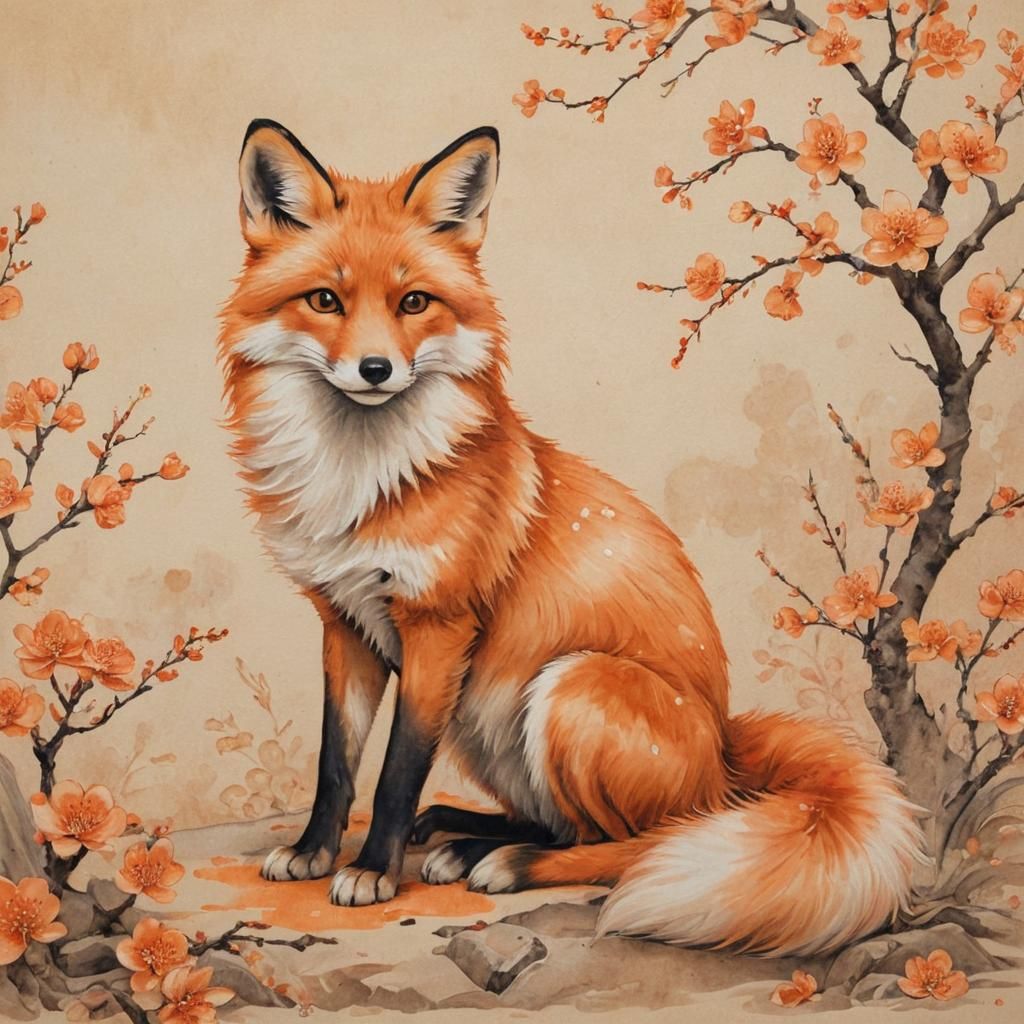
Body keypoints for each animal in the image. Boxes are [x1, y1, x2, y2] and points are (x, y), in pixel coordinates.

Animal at [217, 119, 923, 956]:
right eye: (325, 300)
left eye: (414, 301)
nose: (376, 368)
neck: (365, 485)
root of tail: (724, 752)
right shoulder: (345, 622)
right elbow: (336, 761)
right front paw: (315, 851)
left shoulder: (436, 626)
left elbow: (395, 771)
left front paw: (371, 871)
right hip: (489, 723)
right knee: (565, 825)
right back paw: (465, 834)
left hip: (567, 685)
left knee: (630, 843)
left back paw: (501, 862)